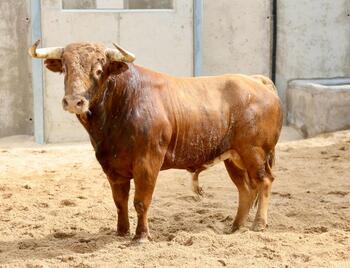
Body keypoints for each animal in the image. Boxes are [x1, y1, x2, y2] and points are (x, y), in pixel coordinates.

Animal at [28, 40, 284, 243]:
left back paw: (258, 224)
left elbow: (141, 201)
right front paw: (121, 232)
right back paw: (235, 227)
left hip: (254, 152)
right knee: (246, 189)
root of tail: (257, 81)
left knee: (264, 181)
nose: (74, 102)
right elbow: (119, 201)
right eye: (65, 69)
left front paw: (141, 236)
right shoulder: (112, 167)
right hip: (233, 158)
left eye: (99, 70)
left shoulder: (148, 162)